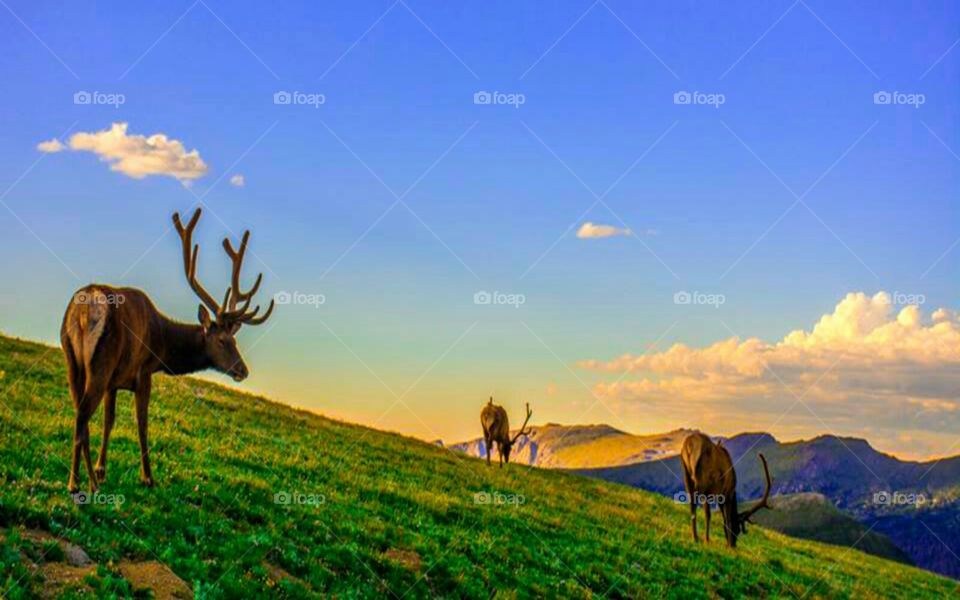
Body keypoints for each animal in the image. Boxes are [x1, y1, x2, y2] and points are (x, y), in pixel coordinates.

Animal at [60, 208, 274, 493]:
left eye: (235, 341)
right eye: (222, 341)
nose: (243, 370)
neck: (161, 345)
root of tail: (84, 309)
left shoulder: (114, 381)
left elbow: (109, 420)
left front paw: (101, 469)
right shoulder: (142, 372)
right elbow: (142, 424)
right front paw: (147, 477)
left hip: (72, 359)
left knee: (78, 414)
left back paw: (80, 479)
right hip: (100, 361)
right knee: (83, 415)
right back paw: (82, 484)